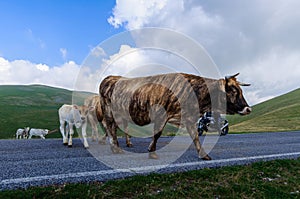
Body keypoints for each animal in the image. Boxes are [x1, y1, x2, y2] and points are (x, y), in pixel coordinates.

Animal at [99, 72, 251, 160]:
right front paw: (152, 152)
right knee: (110, 128)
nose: (248, 109)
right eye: (233, 90)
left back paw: (118, 146)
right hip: (109, 111)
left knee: (114, 128)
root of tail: (110, 77)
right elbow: (157, 134)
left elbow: (195, 137)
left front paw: (204, 155)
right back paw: (115, 148)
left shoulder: (189, 118)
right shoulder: (162, 115)